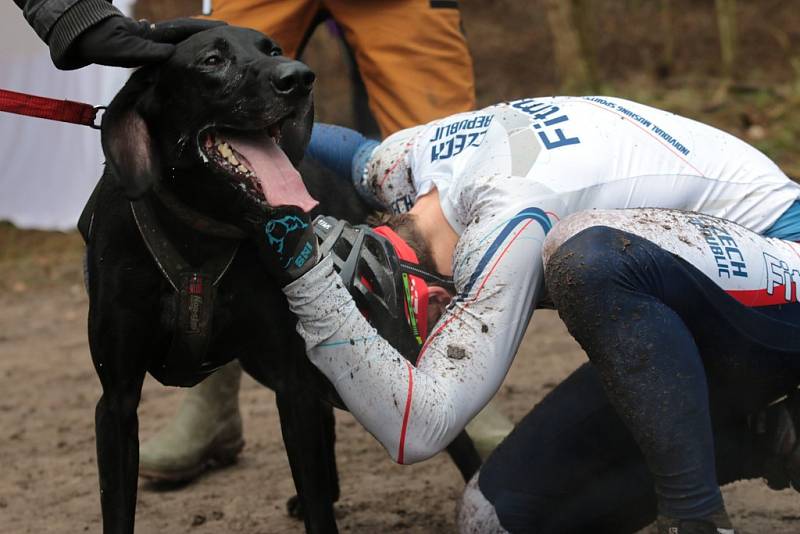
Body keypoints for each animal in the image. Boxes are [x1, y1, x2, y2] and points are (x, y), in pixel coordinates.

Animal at [84, 25, 478, 534]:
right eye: (212, 60)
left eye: (273, 49)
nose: (300, 78)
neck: (200, 231)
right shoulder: (117, 401)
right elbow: (117, 507)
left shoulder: (293, 386)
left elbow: (316, 505)